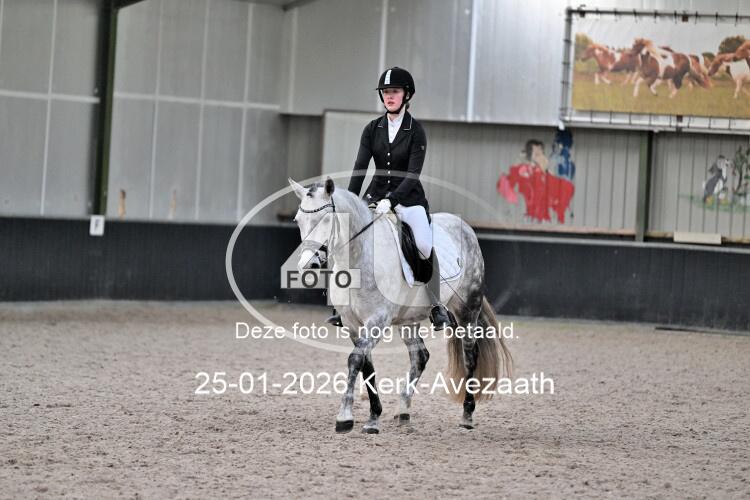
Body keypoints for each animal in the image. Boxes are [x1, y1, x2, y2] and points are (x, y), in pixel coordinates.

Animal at [288, 177, 512, 433]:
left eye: (326, 219)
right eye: (298, 220)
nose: (309, 265)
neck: (359, 258)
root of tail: (464, 226)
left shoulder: (377, 320)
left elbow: (355, 360)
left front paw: (345, 417)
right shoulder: (353, 324)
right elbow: (366, 366)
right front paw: (373, 416)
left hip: (467, 308)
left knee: (470, 355)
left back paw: (467, 415)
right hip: (408, 320)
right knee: (420, 356)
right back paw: (403, 410)